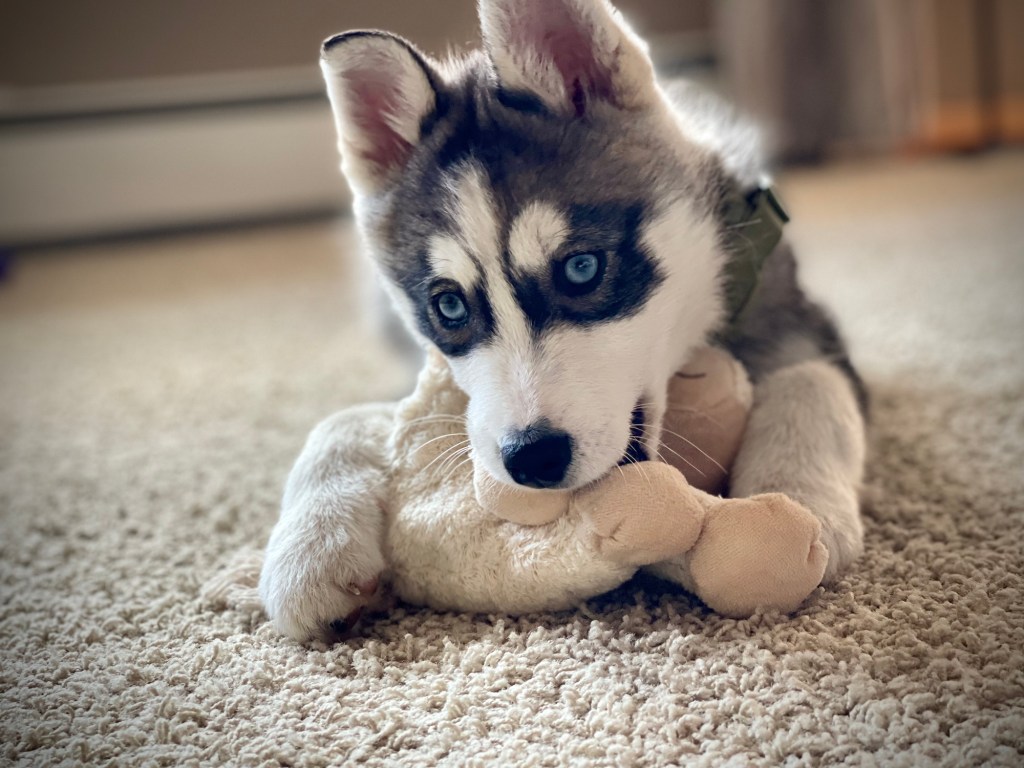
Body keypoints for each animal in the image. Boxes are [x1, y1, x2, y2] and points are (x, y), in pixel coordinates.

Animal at [260, 0, 868, 638]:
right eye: (449, 306)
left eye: (581, 268)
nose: (531, 459)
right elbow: (341, 420)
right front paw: (309, 551)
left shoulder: (796, 318)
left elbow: (810, 381)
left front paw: (798, 505)